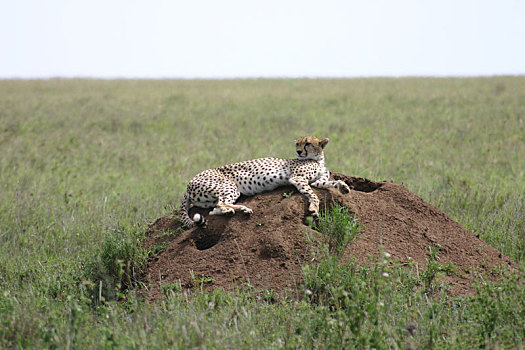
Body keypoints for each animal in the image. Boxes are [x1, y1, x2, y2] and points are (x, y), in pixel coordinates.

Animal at [179, 135, 348, 228]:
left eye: (307, 143)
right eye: (297, 144)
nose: (299, 152)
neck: (317, 159)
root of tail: (189, 183)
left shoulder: (316, 181)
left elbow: (329, 182)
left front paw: (344, 186)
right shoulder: (298, 178)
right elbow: (312, 194)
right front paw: (313, 207)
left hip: (210, 199)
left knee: (213, 209)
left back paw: (236, 210)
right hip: (229, 186)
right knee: (220, 204)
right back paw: (241, 209)